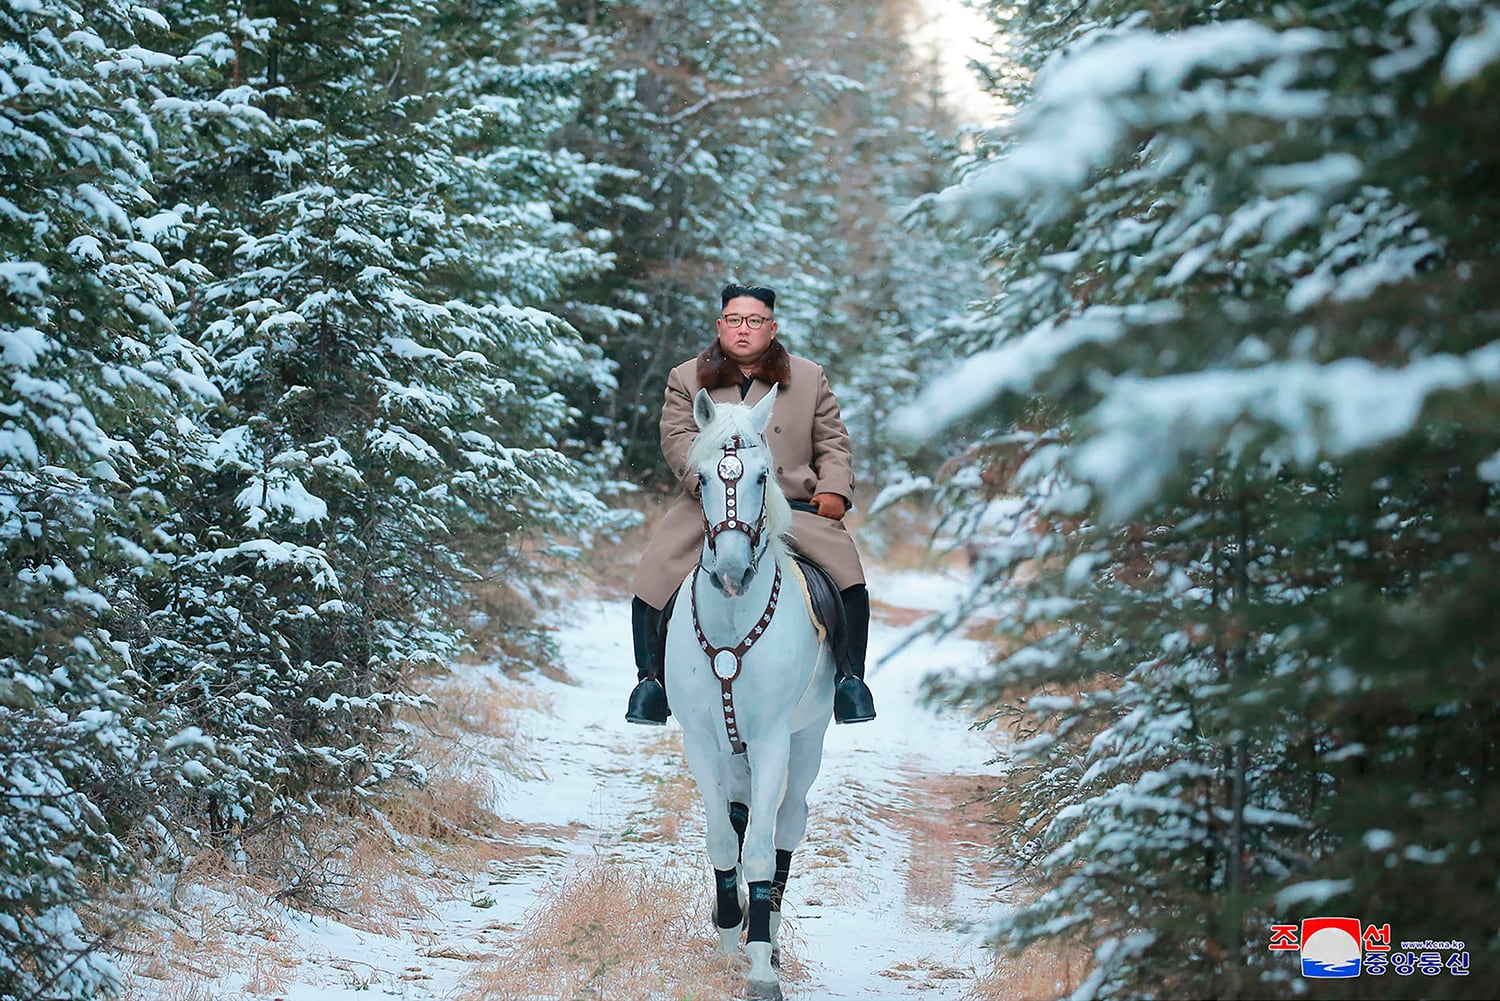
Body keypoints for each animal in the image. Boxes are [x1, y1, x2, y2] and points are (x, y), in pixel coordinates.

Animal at [666, 387, 840, 1001]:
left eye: (764, 476)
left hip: (807, 741)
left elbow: (762, 850)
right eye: (701, 479)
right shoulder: (699, 741)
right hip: (731, 749)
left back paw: (770, 932)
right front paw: (726, 934)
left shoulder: (770, 743)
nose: (733, 572)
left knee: (786, 824)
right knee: (740, 819)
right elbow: (724, 840)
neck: (733, 619)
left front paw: (761, 964)